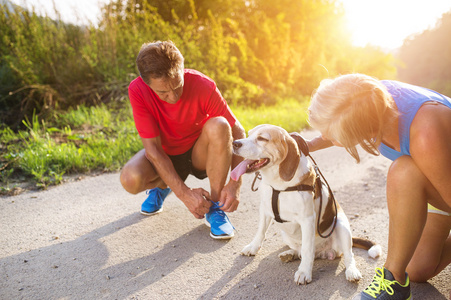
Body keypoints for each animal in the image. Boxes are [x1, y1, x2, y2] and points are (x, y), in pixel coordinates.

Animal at [230, 125, 382, 284]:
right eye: (248, 134)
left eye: (262, 138)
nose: (235, 143)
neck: (279, 185)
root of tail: (324, 251)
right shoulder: (265, 210)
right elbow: (260, 232)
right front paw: (253, 247)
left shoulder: (307, 219)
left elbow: (307, 249)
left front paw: (304, 272)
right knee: (300, 251)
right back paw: (290, 254)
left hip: (341, 225)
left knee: (347, 254)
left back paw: (351, 271)